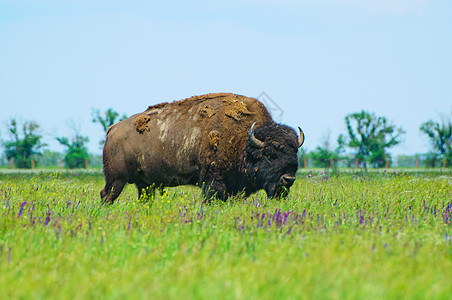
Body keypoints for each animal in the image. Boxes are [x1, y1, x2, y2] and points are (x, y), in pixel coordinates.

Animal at [101, 92, 306, 204]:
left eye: (295, 154)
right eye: (271, 155)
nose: (288, 179)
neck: (244, 143)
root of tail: (112, 129)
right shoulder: (213, 182)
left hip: (144, 183)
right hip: (116, 179)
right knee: (106, 195)